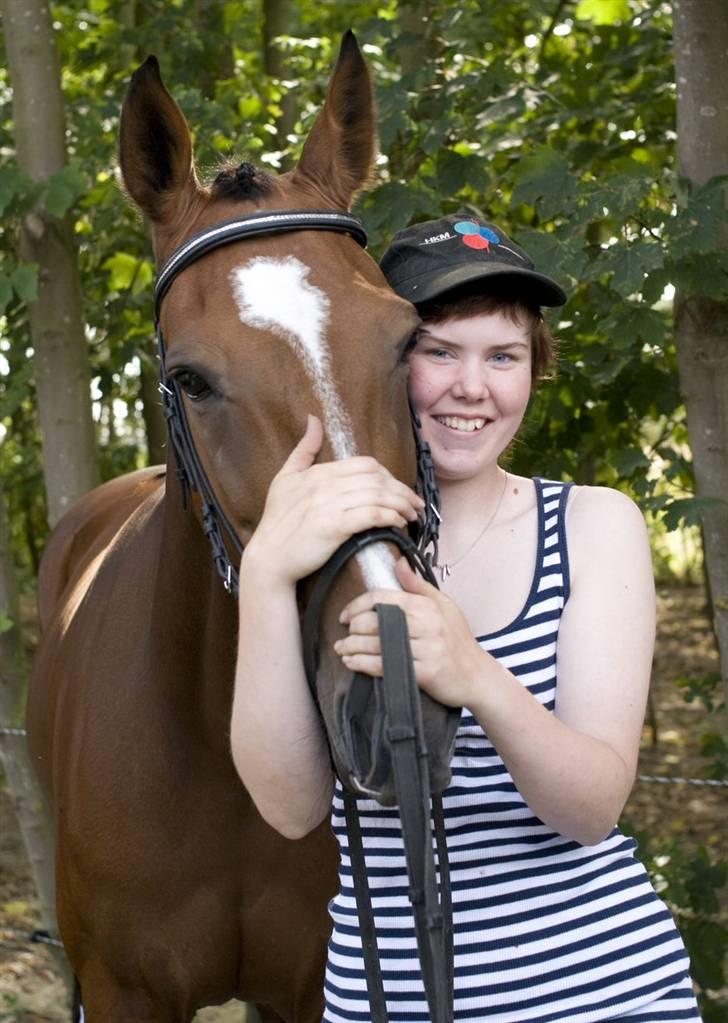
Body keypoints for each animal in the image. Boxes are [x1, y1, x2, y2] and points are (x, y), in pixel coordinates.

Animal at [28, 31, 431, 1023]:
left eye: (409, 339)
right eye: (190, 378)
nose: (389, 689)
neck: (215, 742)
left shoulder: (310, 986)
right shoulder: (122, 990)